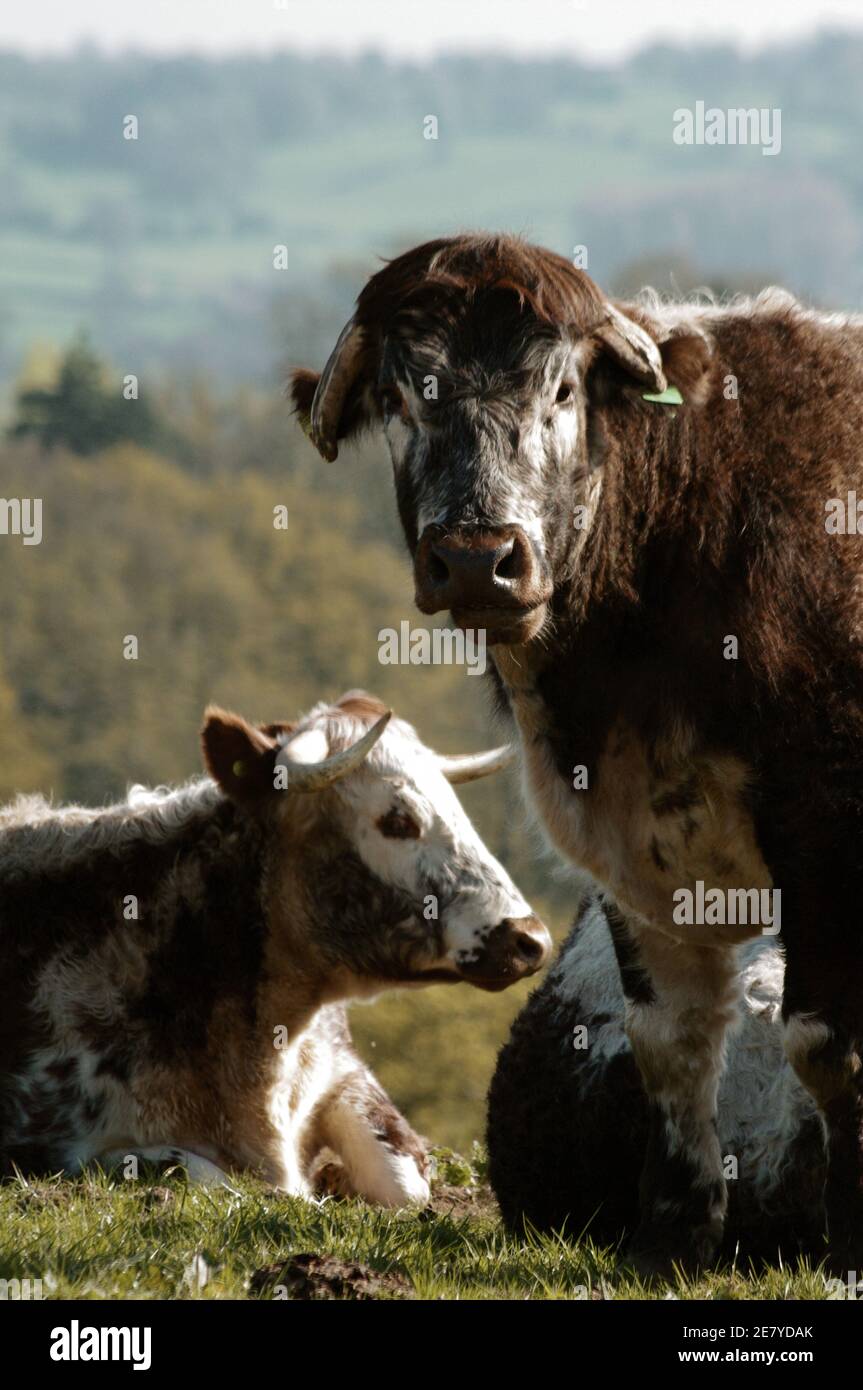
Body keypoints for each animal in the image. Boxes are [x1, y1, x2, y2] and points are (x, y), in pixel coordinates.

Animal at [291, 233, 863, 1274]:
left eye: (560, 389)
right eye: (401, 396)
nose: (476, 559)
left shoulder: (828, 834)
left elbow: (824, 1043)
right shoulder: (631, 851)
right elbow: (669, 1038)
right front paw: (671, 1235)